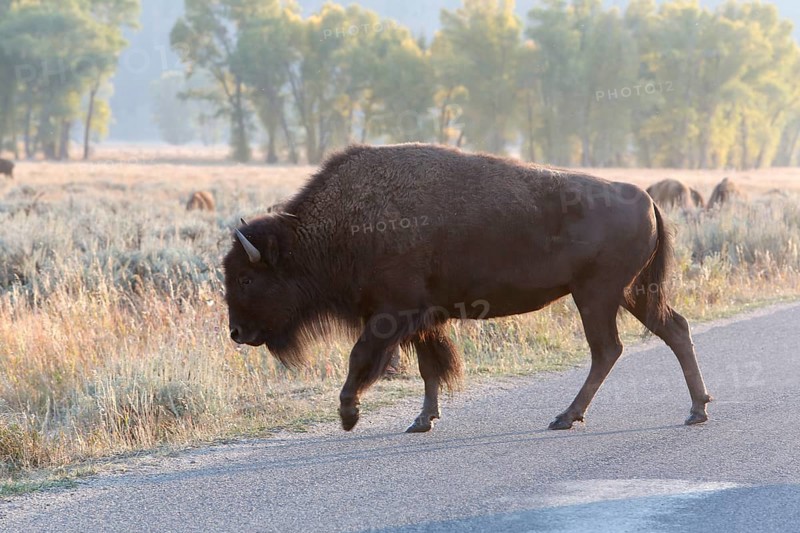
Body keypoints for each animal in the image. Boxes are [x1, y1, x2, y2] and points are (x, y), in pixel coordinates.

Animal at [224, 144, 711, 433]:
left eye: (247, 278)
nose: (236, 332)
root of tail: (646, 198)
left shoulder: (391, 315)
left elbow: (362, 357)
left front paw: (348, 415)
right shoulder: (422, 318)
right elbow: (430, 367)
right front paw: (422, 420)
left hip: (597, 295)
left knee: (607, 349)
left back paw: (566, 416)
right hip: (631, 293)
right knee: (674, 330)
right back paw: (697, 409)